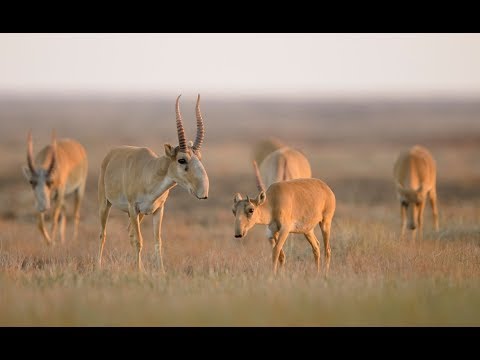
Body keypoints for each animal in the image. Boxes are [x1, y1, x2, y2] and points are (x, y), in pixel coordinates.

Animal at [96, 94, 209, 272]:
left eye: (199, 157)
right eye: (181, 159)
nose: (203, 192)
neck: (149, 172)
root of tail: (111, 153)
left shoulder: (158, 211)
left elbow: (157, 242)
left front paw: (160, 272)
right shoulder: (133, 208)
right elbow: (139, 241)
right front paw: (140, 272)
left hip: (140, 214)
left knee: (129, 233)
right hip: (105, 204)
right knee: (103, 234)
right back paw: (98, 266)